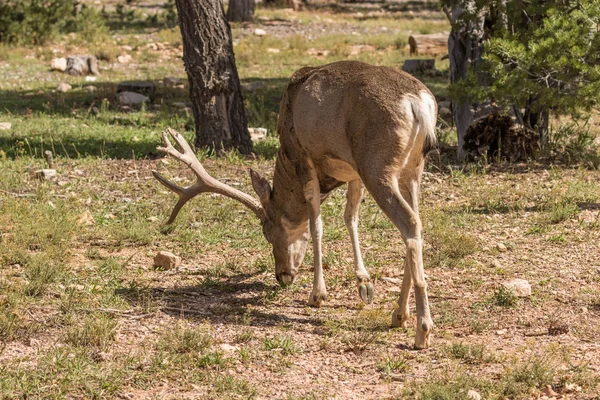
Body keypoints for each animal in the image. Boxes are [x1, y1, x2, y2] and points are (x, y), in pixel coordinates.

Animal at [152, 60, 438, 350]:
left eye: (267, 233)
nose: (282, 276)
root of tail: (418, 103)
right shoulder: (352, 172)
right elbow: (350, 216)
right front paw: (364, 283)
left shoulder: (303, 155)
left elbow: (316, 224)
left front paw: (317, 295)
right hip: (411, 168)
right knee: (417, 221)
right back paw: (399, 314)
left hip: (376, 163)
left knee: (409, 222)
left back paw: (422, 330)